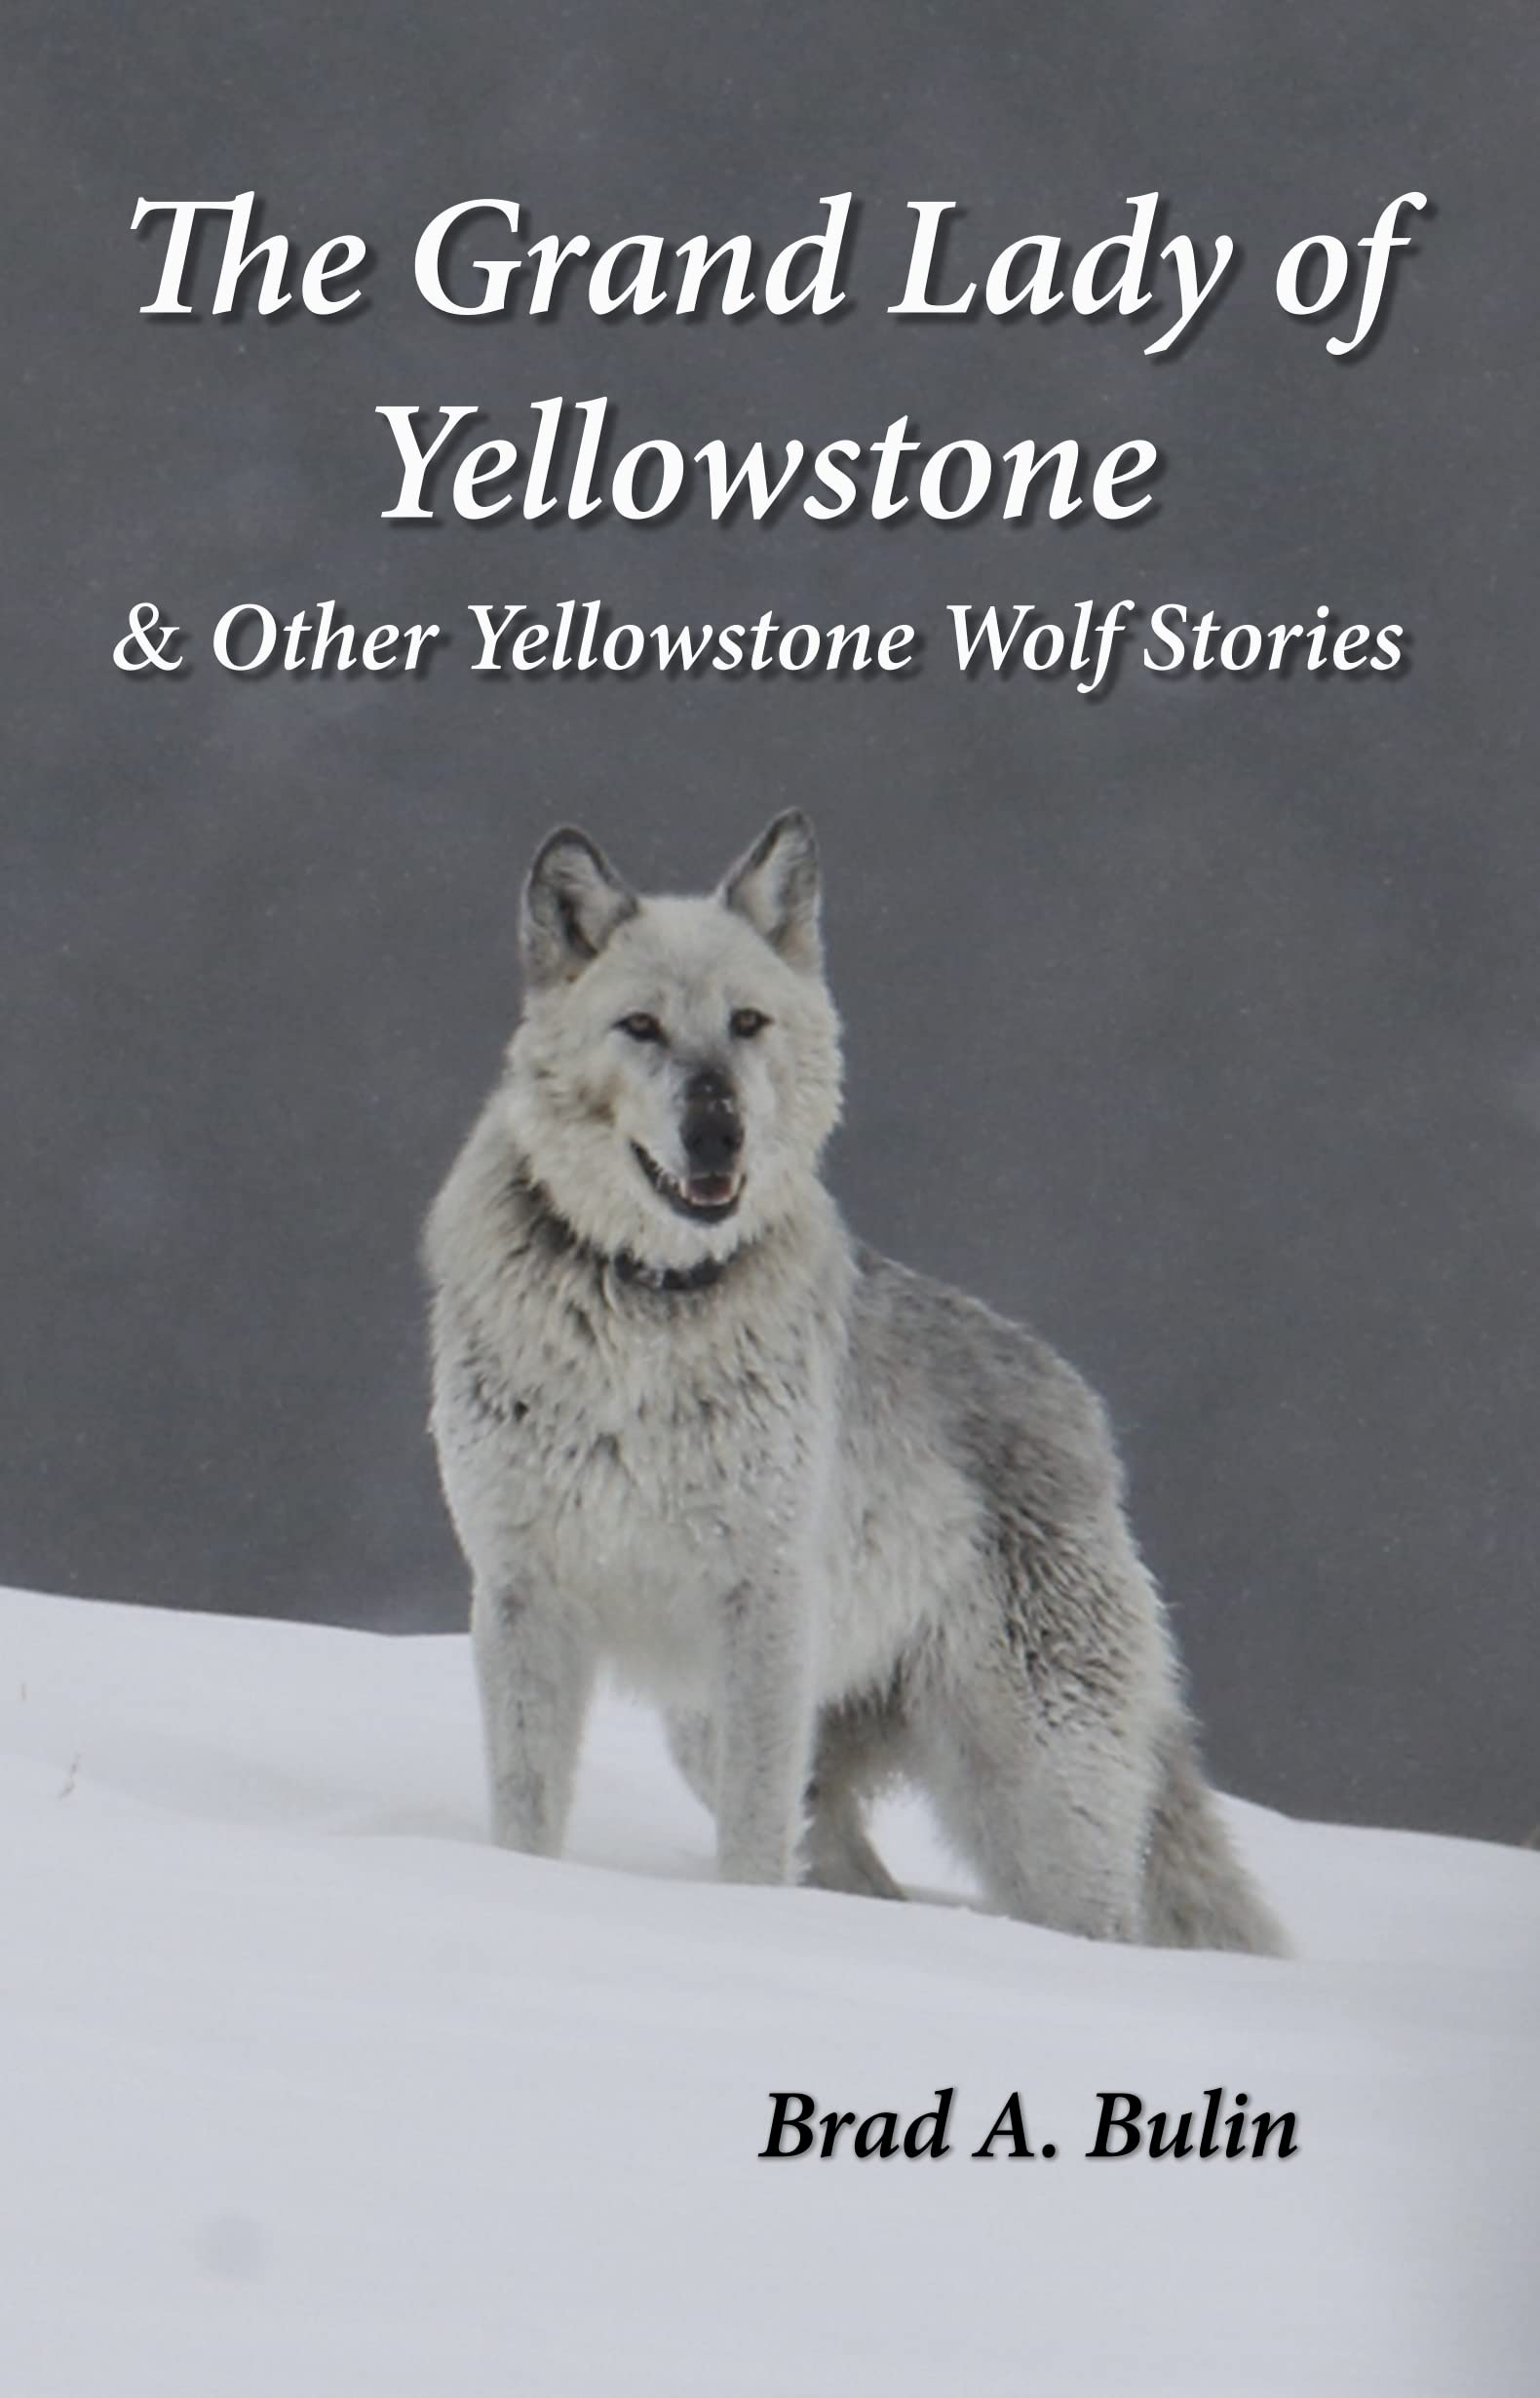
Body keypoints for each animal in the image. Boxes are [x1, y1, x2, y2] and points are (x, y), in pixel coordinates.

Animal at [424, 812, 1285, 1952]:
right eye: (640, 1027)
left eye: (746, 1023)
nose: (718, 1131)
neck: (648, 1309)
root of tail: (1084, 1412)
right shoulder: (525, 1597)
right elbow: (525, 1818)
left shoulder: (763, 1606)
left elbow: (751, 1851)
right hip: (720, 1730)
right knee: (863, 1879)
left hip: (1032, 1792)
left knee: (1094, 1921)